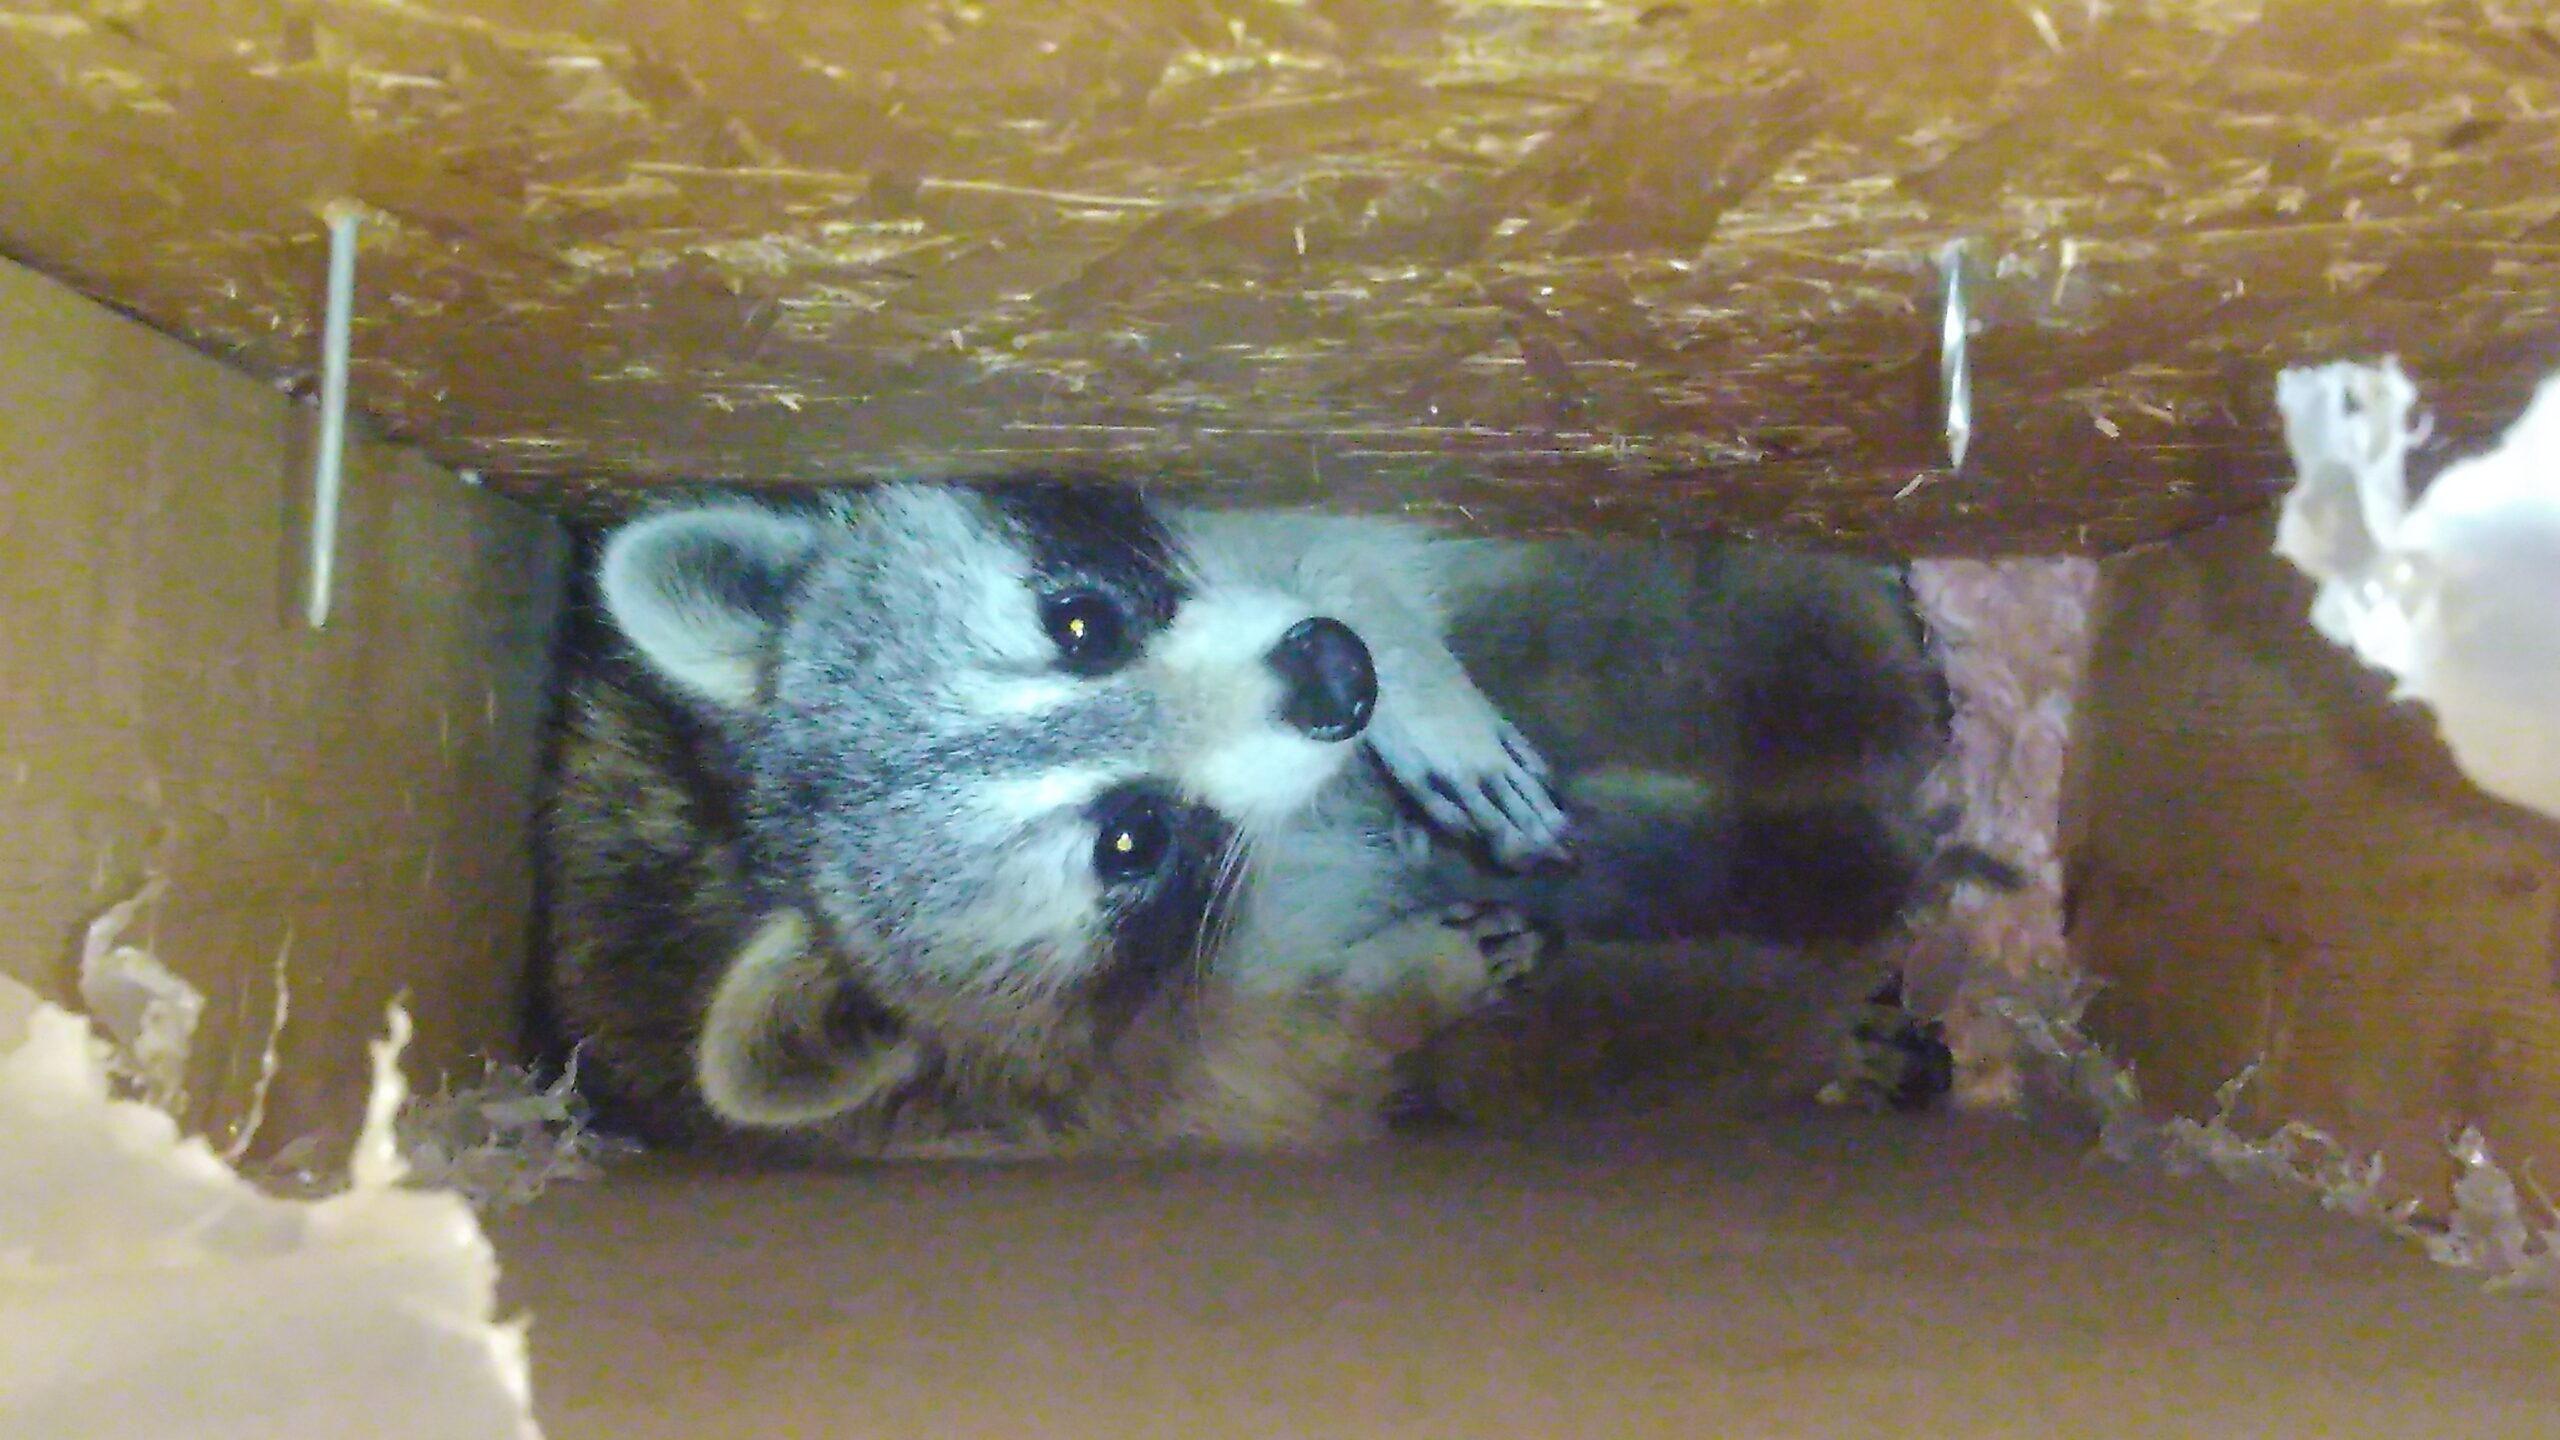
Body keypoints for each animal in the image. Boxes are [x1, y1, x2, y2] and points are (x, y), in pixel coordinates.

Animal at [535, 480, 1963, 1158]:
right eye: (1129, 841)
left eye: (1080, 622)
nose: (1338, 678)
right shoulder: (1113, 1080)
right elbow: (1298, 1050)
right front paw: (1406, 977)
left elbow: (1312, 538)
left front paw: (1400, 658)